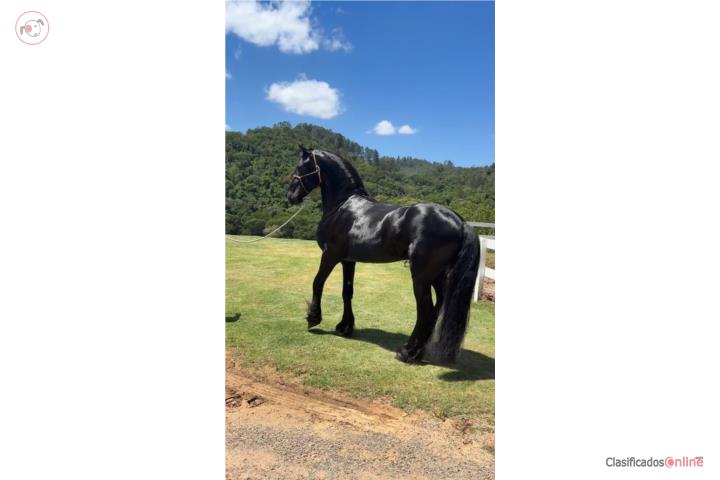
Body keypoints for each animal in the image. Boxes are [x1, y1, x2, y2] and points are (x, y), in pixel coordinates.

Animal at [287, 146, 480, 364]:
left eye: (301, 167)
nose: (290, 196)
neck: (343, 207)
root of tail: (461, 222)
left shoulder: (330, 256)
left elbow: (317, 282)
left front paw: (313, 317)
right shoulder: (348, 261)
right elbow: (347, 292)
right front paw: (345, 327)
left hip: (421, 276)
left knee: (426, 310)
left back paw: (407, 352)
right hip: (438, 276)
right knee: (437, 308)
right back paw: (418, 351)